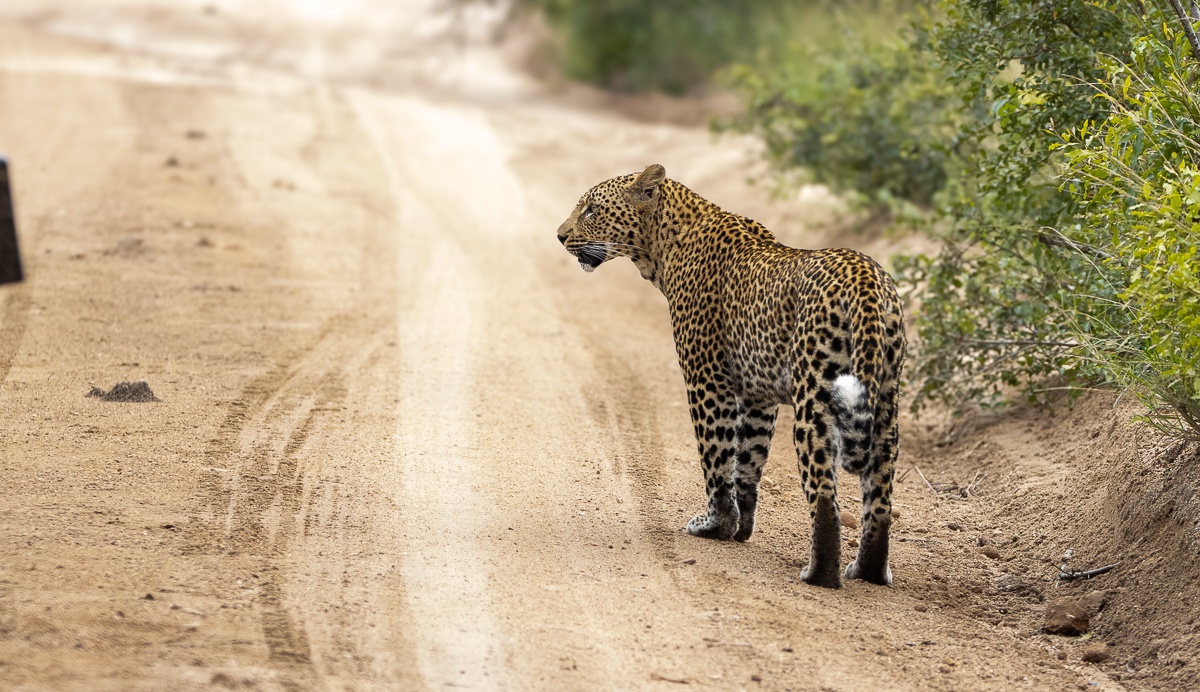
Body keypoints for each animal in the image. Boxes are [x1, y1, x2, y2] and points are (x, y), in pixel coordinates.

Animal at [556, 164, 906, 588]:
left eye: (591, 209)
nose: (559, 235)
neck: (661, 245)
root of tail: (865, 277)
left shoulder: (706, 379)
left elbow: (716, 456)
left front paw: (716, 524)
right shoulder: (759, 396)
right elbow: (748, 461)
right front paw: (741, 528)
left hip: (815, 397)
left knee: (824, 489)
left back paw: (819, 573)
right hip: (885, 399)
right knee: (880, 493)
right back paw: (868, 570)